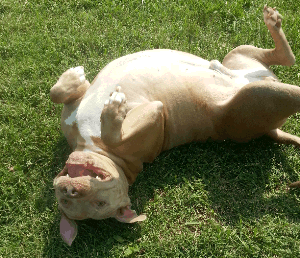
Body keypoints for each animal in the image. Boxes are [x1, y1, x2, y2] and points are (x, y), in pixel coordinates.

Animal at [50, 5, 298, 245]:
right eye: (98, 204)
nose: (69, 190)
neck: (98, 149)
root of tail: (269, 130)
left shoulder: (78, 109)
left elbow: (57, 94)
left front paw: (72, 78)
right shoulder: (156, 113)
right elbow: (113, 134)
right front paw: (113, 110)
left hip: (239, 54)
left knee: (284, 58)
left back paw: (272, 22)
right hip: (257, 96)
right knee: (290, 74)